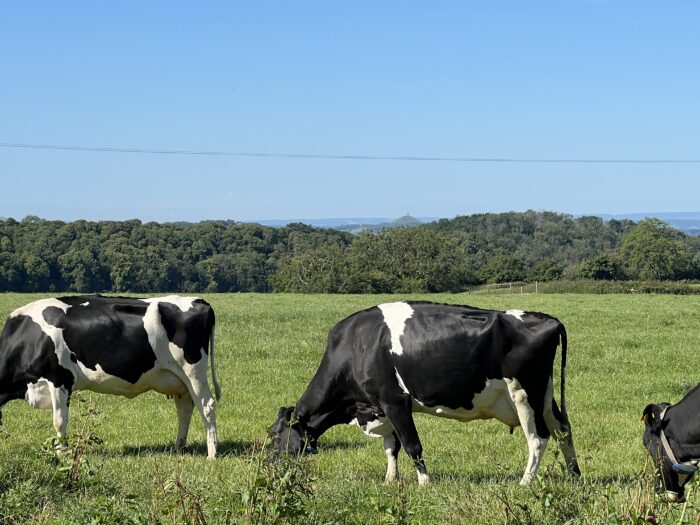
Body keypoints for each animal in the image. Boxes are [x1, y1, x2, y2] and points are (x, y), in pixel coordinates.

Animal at [0, 295, 222, 458]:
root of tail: (200, 301)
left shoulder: (60, 379)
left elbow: (59, 421)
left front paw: (61, 455)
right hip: (178, 380)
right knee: (185, 408)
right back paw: (178, 448)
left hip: (193, 371)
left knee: (207, 406)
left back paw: (212, 453)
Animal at [271, 301, 580, 485]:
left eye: (274, 436)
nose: (270, 467)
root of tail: (549, 319)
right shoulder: (382, 406)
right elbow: (391, 446)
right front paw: (390, 480)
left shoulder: (395, 401)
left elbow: (412, 446)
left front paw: (424, 483)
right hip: (545, 395)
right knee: (563, 430)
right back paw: (575, 475)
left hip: (525, 393)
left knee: (538, 438)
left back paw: (525, 482)